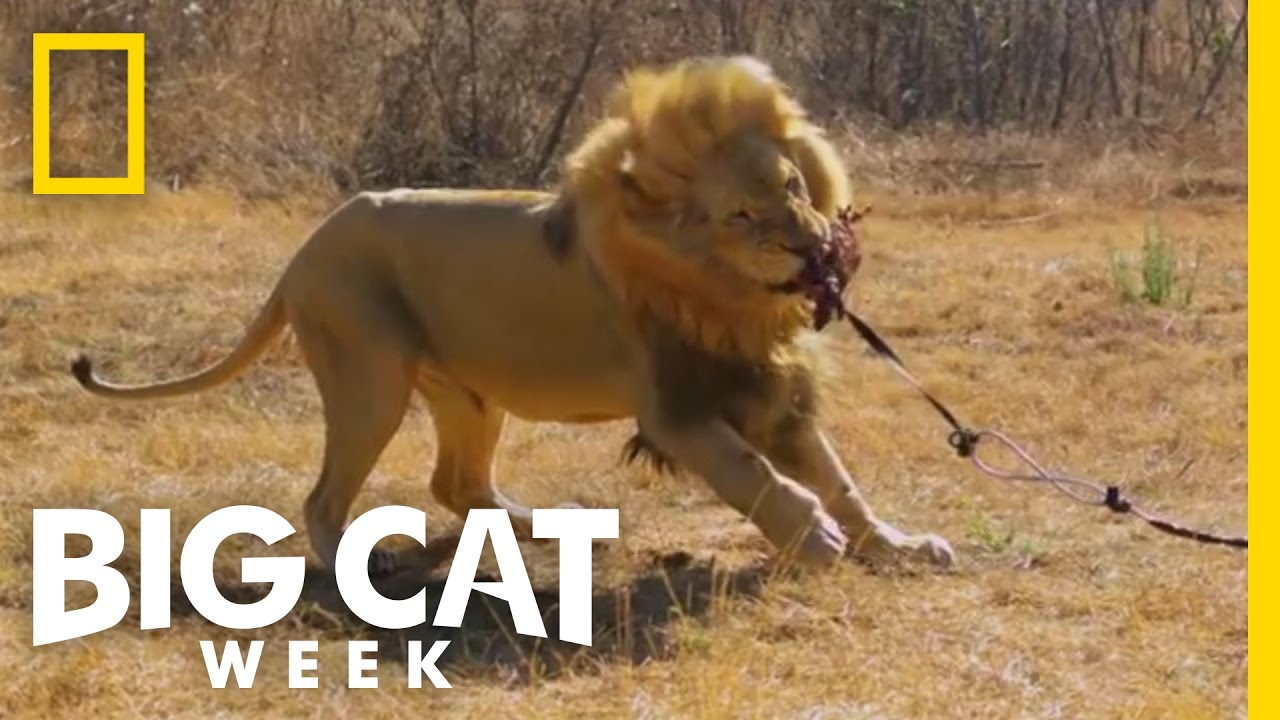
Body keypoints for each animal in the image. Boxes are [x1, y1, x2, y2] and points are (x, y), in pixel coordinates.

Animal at [70, 55, 954, 575]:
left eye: (794, 187)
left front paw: (897, 545)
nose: (814, 247)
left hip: (468, 393)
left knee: (456, 482)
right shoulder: (675, 410)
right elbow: (756, 474)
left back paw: (537, 526)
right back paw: (359, 575)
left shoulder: (770, 392)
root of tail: (302, 254)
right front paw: (816, 539)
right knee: (323, 500)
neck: (723, 291)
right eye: (741, 213)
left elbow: (841, 480)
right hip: (370, 379)